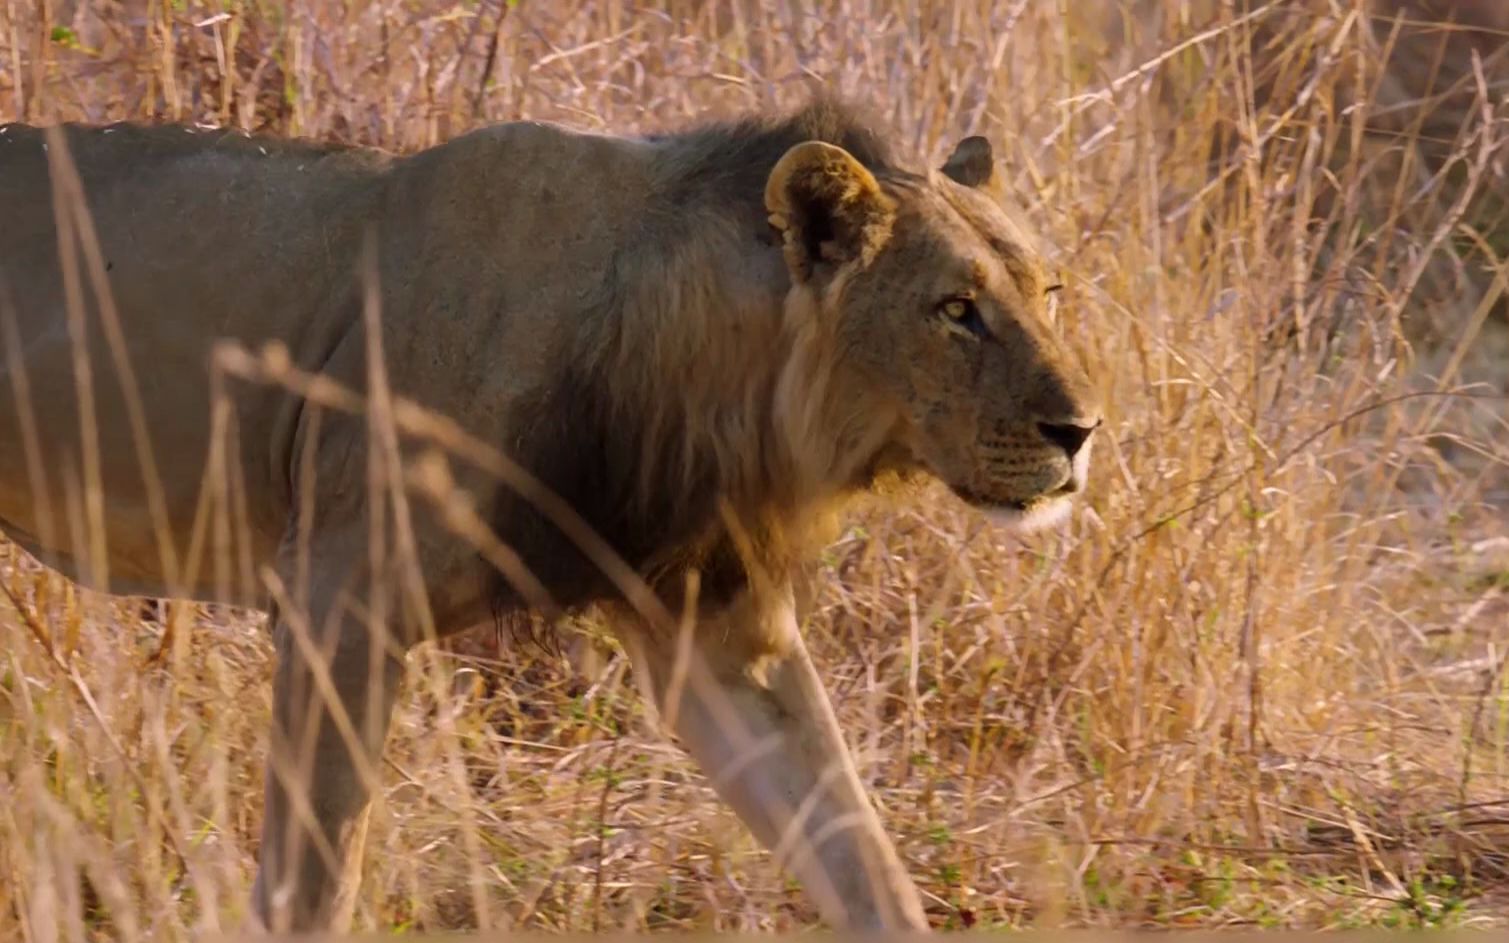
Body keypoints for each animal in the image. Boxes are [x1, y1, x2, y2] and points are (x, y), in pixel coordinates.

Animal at [2, 99, 1110, 929]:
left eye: (1048, 290)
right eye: (956, 311)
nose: (1082, 430)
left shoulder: (714, 624)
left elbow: (858, 855)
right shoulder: (339, 601)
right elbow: (314, 878)